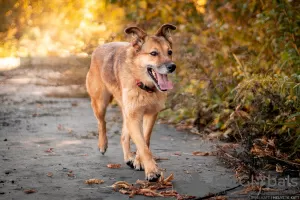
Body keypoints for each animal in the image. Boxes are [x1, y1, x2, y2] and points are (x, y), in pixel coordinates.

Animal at [85, 23, 177, 181]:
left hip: (126, 111)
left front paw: (139, 161)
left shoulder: (150, 115)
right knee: (102, 123)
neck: (144, 86)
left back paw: (129, 158)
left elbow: (145, 140)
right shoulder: (134, 117)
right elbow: (142, 146)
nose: (172, 66)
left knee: (123, 135)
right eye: (154, 53)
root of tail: (100, 47)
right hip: (100, 103)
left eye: (169, 52)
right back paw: (103, 144)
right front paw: (152, 171)